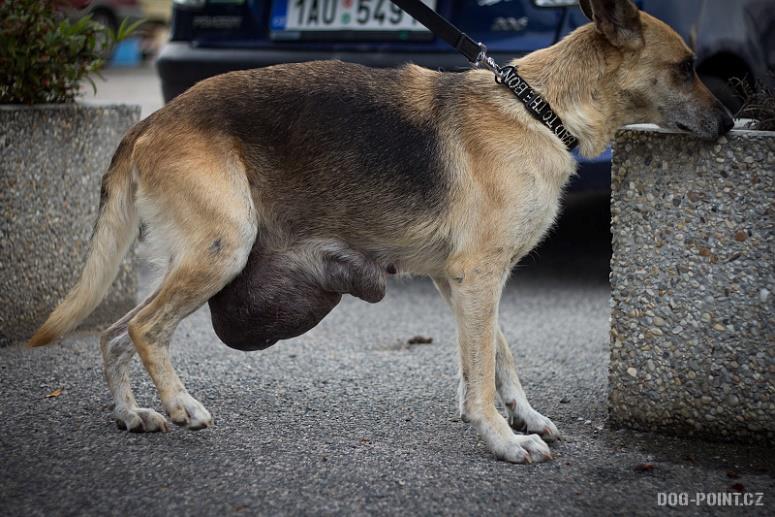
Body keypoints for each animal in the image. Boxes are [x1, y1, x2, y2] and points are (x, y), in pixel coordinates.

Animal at [30, 0, 732, 462]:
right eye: (687, 66)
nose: (732, 121)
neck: (540, 108)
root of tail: (150, 121)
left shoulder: (464, 282)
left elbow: (496, 354)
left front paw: (522, 415)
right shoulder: (479, 277)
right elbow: (484, 366)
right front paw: (502, 439)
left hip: (191, 259)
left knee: (113, 333)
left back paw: (131, 413)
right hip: (219, 252)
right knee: (144, 329)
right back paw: (179, 404)